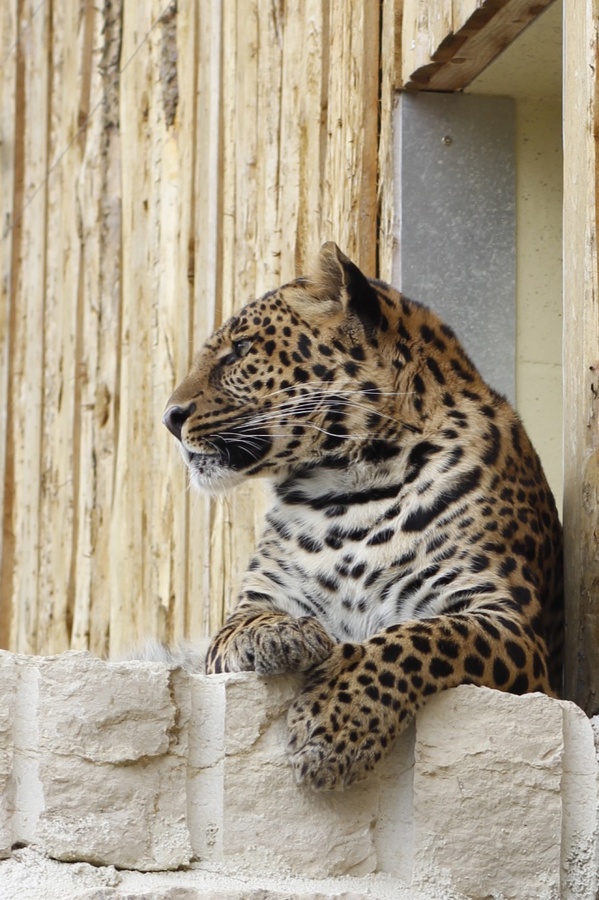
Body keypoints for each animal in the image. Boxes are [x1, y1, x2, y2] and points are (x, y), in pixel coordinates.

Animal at [163, 243, 564, 792]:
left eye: (241, 349)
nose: (169, 417)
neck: (346, 492)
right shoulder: (250, 606)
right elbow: (244, 626)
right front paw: (287, 636)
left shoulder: (508, 622)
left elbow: (419, 636)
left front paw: (336, 723)